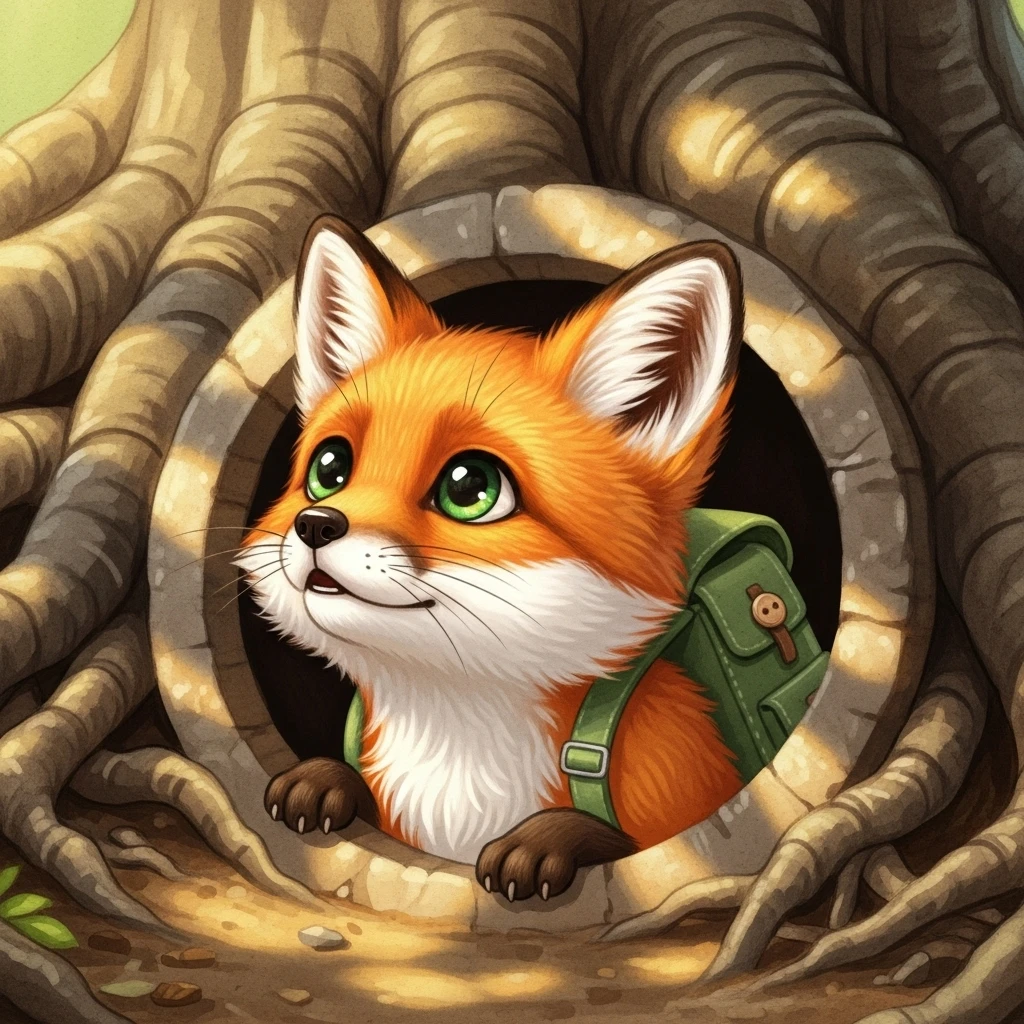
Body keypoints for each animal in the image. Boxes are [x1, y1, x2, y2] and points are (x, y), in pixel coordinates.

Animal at [238, 214, 746, 903]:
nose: (315, 525)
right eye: (330, 467)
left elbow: (607, 837)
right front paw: (324, 780)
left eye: (470, 487)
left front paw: (550, 838)